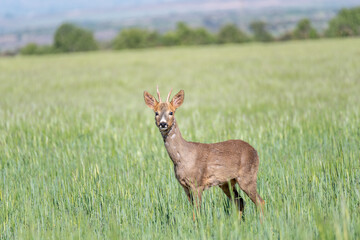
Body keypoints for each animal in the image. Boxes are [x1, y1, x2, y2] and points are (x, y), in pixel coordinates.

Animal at [143, 87, 264, 217]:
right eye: (156, 113)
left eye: (171, 112)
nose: (163, 123)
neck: (181, 159)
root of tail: (255, 151)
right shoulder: (185, 186)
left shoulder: (197, 183)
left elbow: (197, 212)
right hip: (227, 183)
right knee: (240, 202)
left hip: (248, 176)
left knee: (260, 202)